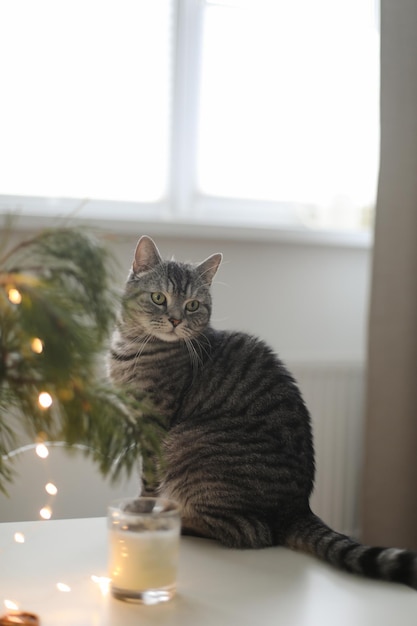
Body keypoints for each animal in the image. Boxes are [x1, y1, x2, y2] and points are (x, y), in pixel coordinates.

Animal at [108, 234, 416, 588]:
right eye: (159, 298)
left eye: (192, 305)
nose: (175, 320)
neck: (131, 348)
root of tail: (298, 507)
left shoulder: (154, 425)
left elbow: (148, 479)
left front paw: (141, 509)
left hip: (187, 445)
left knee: (252, 532)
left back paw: (178, 520)